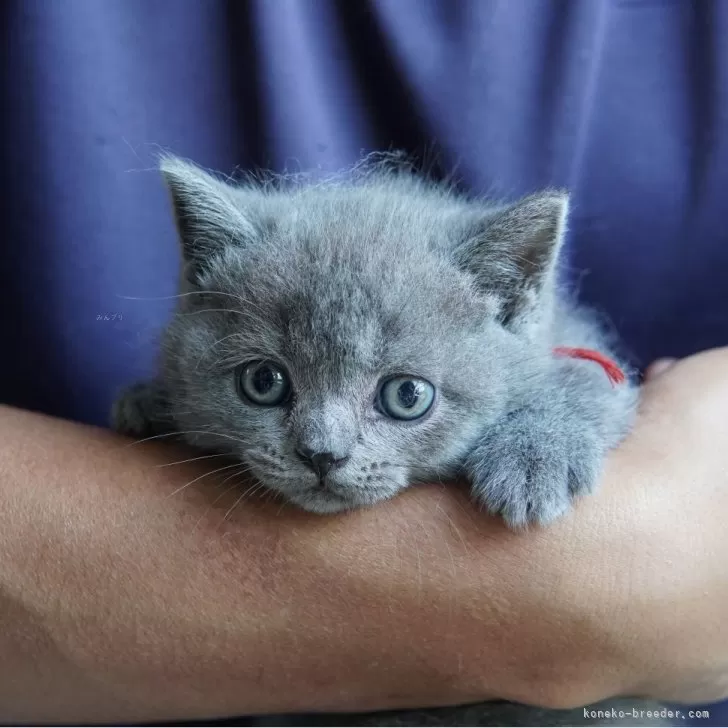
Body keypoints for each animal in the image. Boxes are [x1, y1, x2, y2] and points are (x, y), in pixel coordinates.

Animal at [112, 156, 672, 724]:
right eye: (263, 381)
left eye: (407, 395)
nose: (321, 454)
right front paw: (150, 404)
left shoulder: (584, 353)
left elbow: (585, 384)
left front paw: (533, 458)